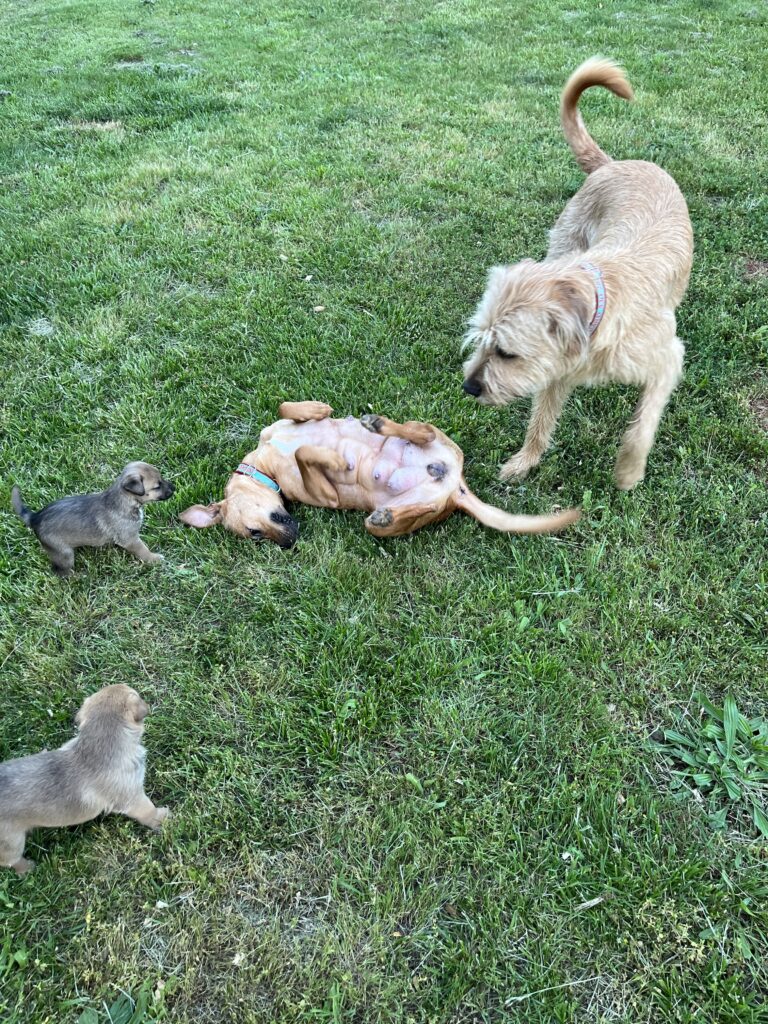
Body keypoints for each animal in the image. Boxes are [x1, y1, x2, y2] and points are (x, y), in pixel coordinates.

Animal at [0, 684, 171, 876]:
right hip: (12, 843)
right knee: (11, 862)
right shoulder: (133, 798)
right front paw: (163, 817)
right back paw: (28, 868)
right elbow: (148, 811)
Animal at [12, 462, 174, 577]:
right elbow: (143, 550)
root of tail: (35, 517)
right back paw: (78, 577)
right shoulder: (130, 539)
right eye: (157, 486)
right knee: (60, 572)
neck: (124, 500)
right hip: (63, 553)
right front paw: (154, 559)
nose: (174, 487)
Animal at [179, 401, 577, 544]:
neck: (264, 464)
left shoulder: (278, 426)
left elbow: (289, 410)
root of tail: (456, 490)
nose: (290, 541)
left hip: (440, 440)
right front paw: (335, 461)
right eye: (256, 536)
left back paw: (380, 424)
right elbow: (308, 454)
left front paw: (317, 410)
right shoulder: (325, 494)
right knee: (404, 514)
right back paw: (386, 514)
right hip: (408, 509)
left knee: (422, 431)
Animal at [462, 58, 696, 489]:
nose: (469, 387)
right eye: (482, 341)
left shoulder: (667, 359)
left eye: (506, 352)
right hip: (564, 243)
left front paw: (628, 473)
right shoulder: (557, 368)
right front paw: (525, 461)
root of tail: (613, 163)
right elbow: (540, 420)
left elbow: (642, 428)